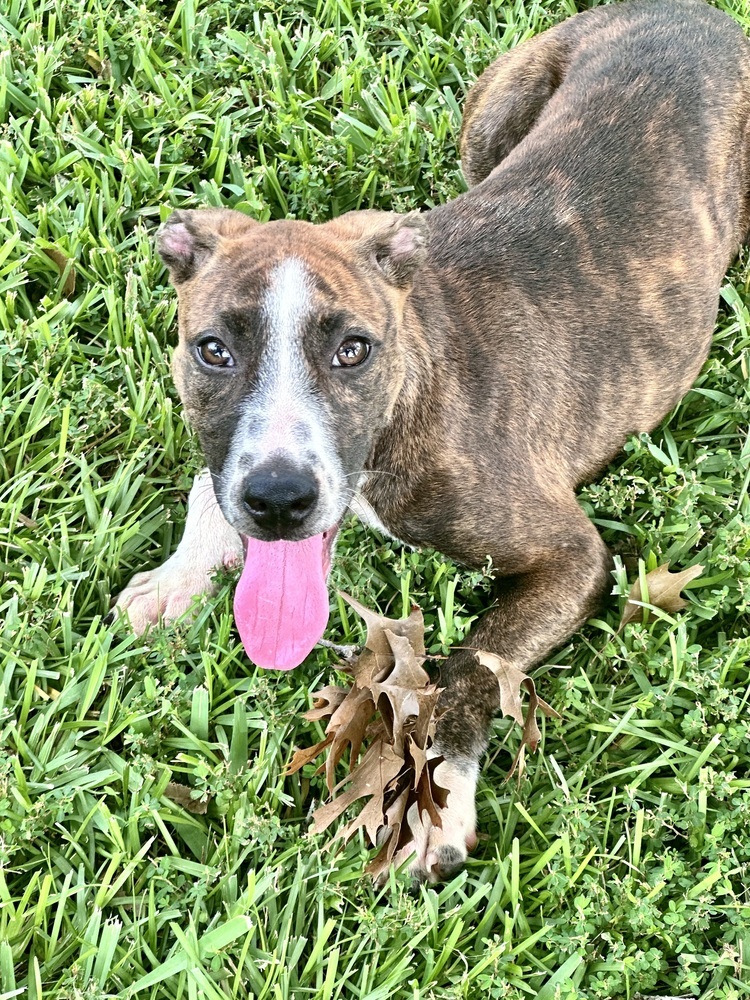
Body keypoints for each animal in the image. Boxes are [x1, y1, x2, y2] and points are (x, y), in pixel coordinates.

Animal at [114, 0, 750, 880]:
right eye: (213, 350)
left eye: (354, 350)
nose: (277, 499)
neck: (411, 388)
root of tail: (698, 11)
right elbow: (205, 487)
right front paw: (178, 579)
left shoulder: (572, 556)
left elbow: (470, 666)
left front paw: (438, 797)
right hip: (494, 116)